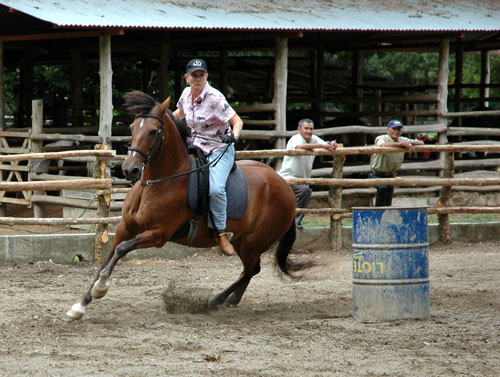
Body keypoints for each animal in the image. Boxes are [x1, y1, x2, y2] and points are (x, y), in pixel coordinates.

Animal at [66, 90, 308, 318]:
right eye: (133, 127)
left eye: (153, 131)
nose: (129, 169)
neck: (158, 183)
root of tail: (285, 187)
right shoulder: (125, 227)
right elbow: (109, 256)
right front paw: (80, 305)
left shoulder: (159, 234)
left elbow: (121, 250)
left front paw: (100, 288)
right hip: (243, 241)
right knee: (250, 270)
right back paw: (230, 300)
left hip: (254, 242)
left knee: (251, 270)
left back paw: (215, 301)